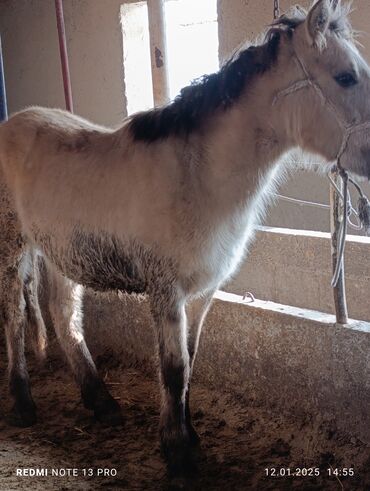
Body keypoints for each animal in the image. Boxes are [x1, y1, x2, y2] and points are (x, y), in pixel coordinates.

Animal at [0, 0, 370, 476]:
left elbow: (190, 366)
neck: (197, 176)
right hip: (14, 249)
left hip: (61, 252)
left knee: (63, 316)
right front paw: (178, 452)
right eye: (346, 77)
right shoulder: (167, 291)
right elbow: (173, 369)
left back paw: (102, 402)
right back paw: (23, 404)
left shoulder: (201, 293)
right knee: (13, 318)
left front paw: (188, 437)